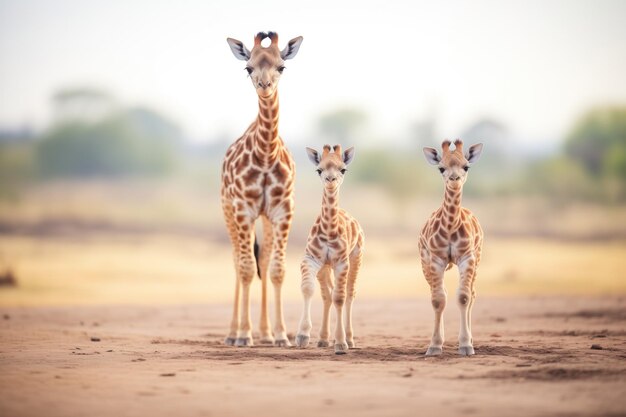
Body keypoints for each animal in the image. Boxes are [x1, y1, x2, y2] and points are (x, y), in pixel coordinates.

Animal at [223, 31, 304, 344]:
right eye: (248, 68)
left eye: (282, 66)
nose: (265, 87)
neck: (267, 155)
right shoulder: (243, 209)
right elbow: (247, 269)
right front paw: (244, 335)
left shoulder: (282, 211)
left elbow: (276, 269)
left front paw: (280, 335)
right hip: (228, 213)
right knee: (237, 263)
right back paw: (233, 332)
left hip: (265, 220)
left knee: (265, 260)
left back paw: (266, 333)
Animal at [294, 145, 364, 352]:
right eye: (319, 169)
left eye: (343, 169)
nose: (330, 180)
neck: (328, 230)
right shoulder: (310, 259)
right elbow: (308, 289)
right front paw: (302, 336)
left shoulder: (342, 262)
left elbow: (340, 297)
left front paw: (340, 343)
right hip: (325, 267)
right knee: (327, 295)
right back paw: (323, 339)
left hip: (356, 258)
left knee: (349, 294)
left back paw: (349, 339)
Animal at [420, 139, 482, 354]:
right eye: (441, 168)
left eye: (466, 166)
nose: (454, 179)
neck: (450, 226)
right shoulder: (436, 260)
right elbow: (438, 299)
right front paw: (434, 346)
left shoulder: (467, 258)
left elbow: (463, 297)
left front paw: (465, 345)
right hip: (425, 263)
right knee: (439, 294)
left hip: (477, 260)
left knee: (472, 294)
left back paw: (471, 339)